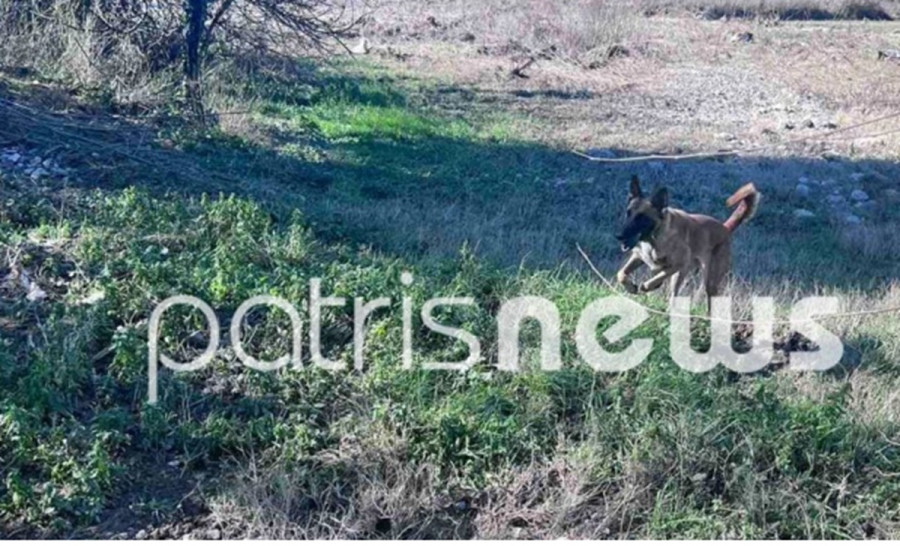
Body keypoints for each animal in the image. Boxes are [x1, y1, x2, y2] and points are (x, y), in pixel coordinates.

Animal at [612, 176, 760, 308]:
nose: (619, 236)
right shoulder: (638, 257)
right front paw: (631, 287)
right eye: (628, 213)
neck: (655, 237)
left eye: (641, 217)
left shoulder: (679, 264)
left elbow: (658, 276)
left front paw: (647, 286)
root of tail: (725, 228)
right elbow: (621, 273)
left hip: (709, 282)